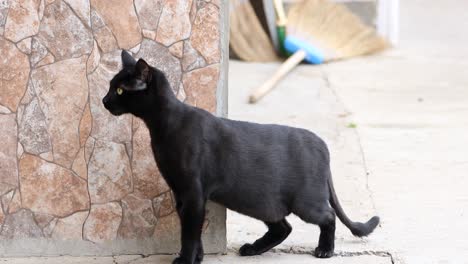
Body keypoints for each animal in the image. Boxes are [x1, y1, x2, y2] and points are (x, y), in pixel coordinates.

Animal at [103, 50, 380, 262]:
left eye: (120, 90)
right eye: (110, 87)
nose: (104, 100)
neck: (162, 126)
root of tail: (322, 143)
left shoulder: (193, 192)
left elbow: (189, 232)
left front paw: (185, 259)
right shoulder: (180, 192)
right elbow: (191, 228)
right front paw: (197, 257)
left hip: (304, 202)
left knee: (328, 216)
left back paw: (325, 250)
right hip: (261, 202)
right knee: (284, 227)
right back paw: (253, 249)